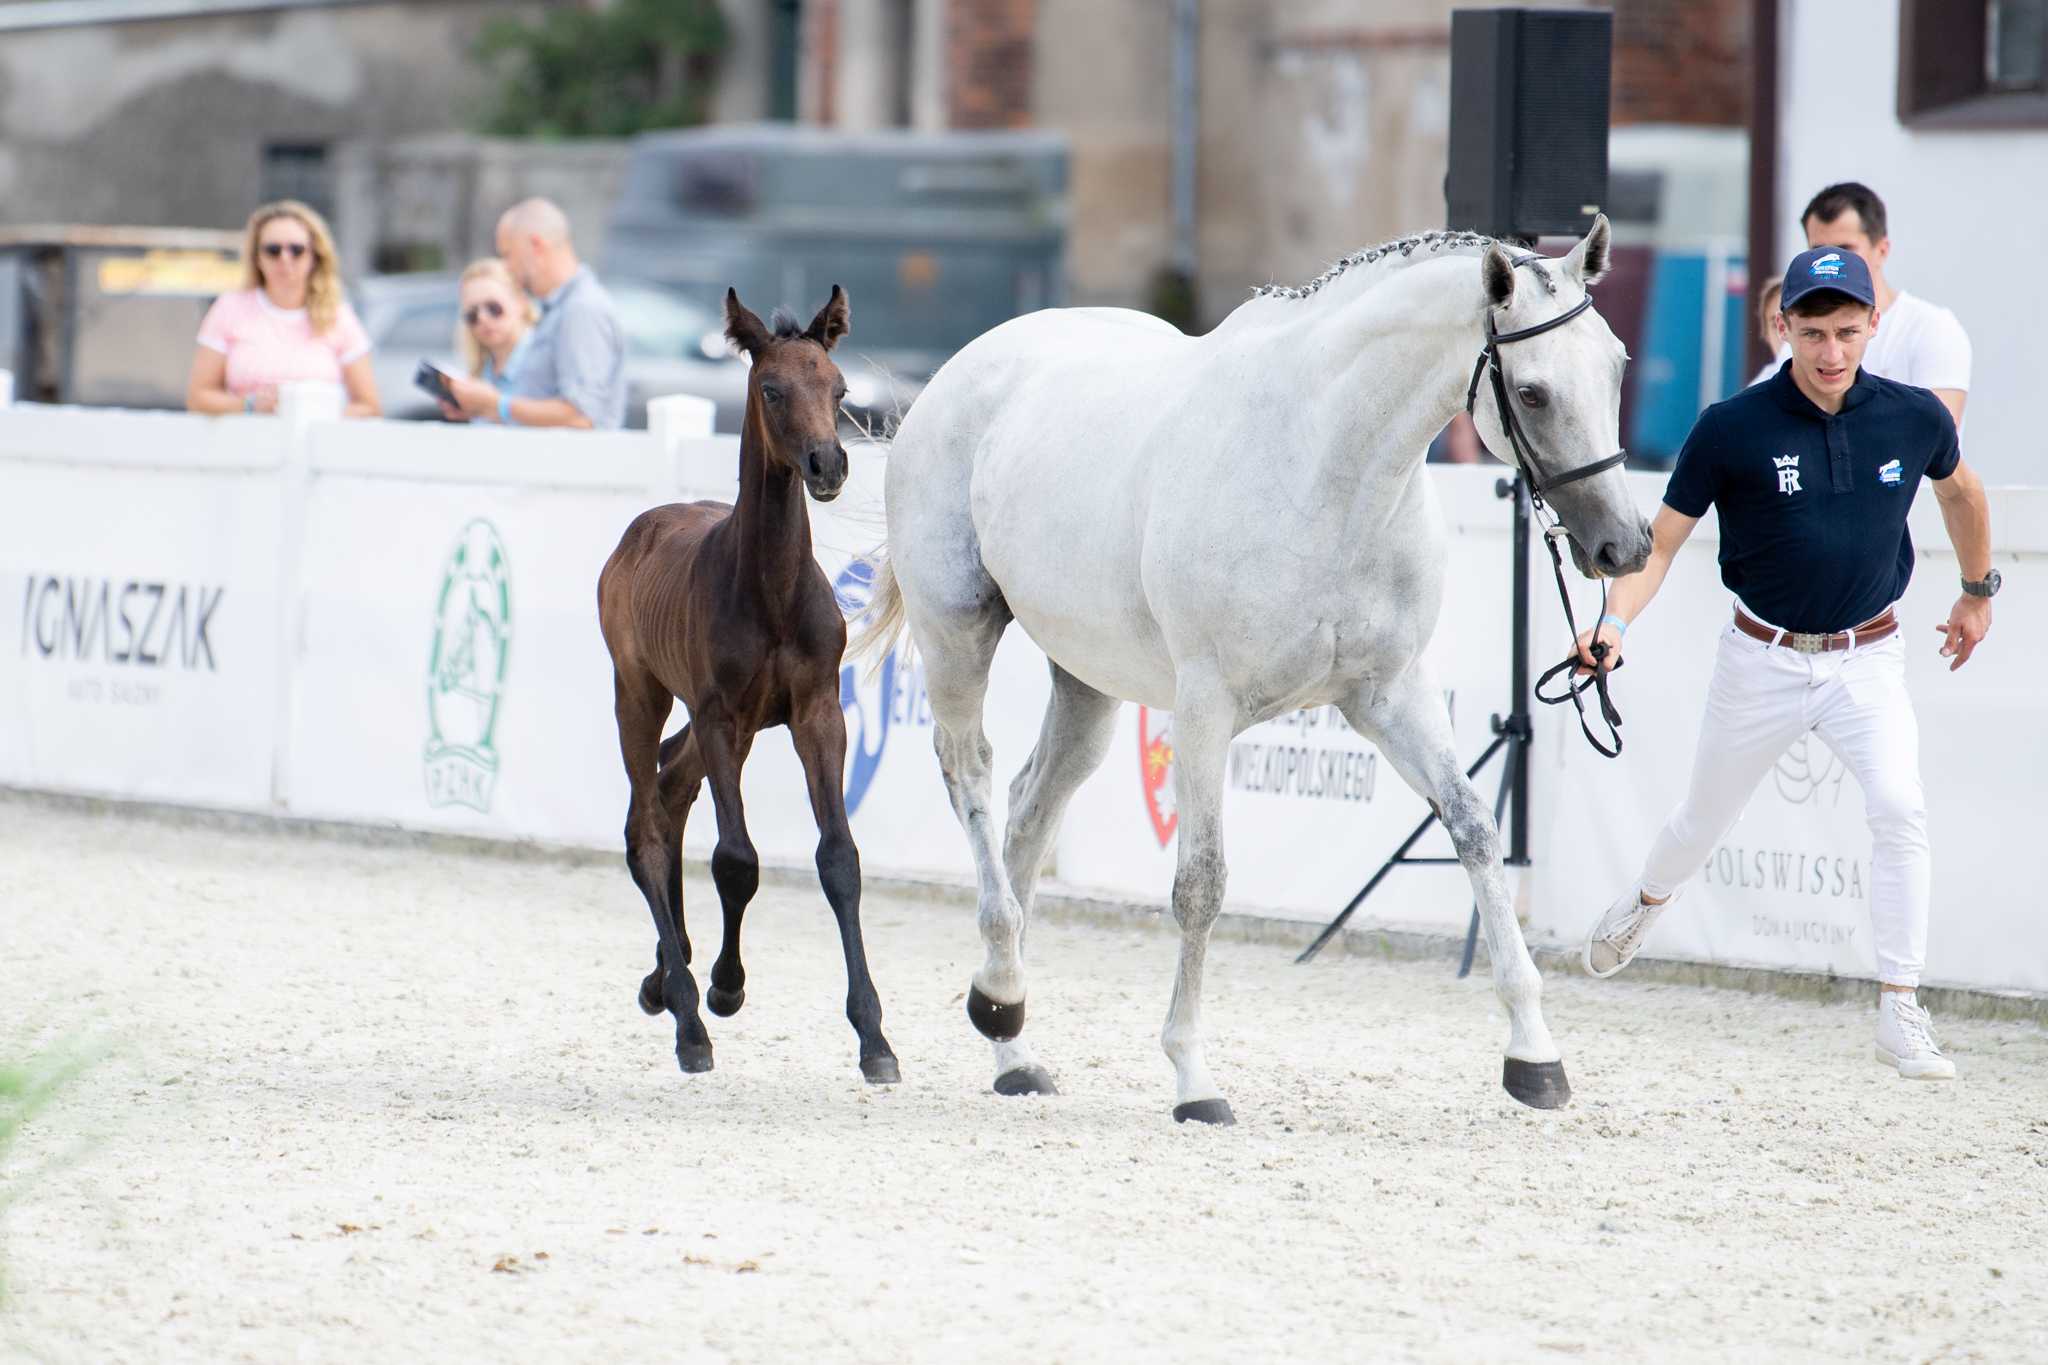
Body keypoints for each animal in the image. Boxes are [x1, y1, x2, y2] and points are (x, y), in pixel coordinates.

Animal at [597, 285, 898, 1085]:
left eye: (840, 389)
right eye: (771, 389)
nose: (828, 464)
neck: (770, 592)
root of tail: (636, 534)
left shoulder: (817, 711)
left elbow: (840, 858)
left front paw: (875, 1039)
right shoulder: (719, 714)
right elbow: (737, 859)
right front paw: (724, 991)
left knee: (670, 787)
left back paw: (665, 975)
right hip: (641, 691)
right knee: (646, 823)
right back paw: (686, 1011)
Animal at [854, 219, 1648, 1123]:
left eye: (1616, 363)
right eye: (1534, 392)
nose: (1624, 546)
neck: (1327, 471)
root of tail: (955, 375)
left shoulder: (1392, 694)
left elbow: (1474, 828)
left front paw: (1535, 1055)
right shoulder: (1205, 707)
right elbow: (1201, 882)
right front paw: (1194, 1078)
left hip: (1089, 682)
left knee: (1030, 807)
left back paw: (1008, 1034)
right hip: (957, 633)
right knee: (974, 779)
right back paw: (1003, 993)